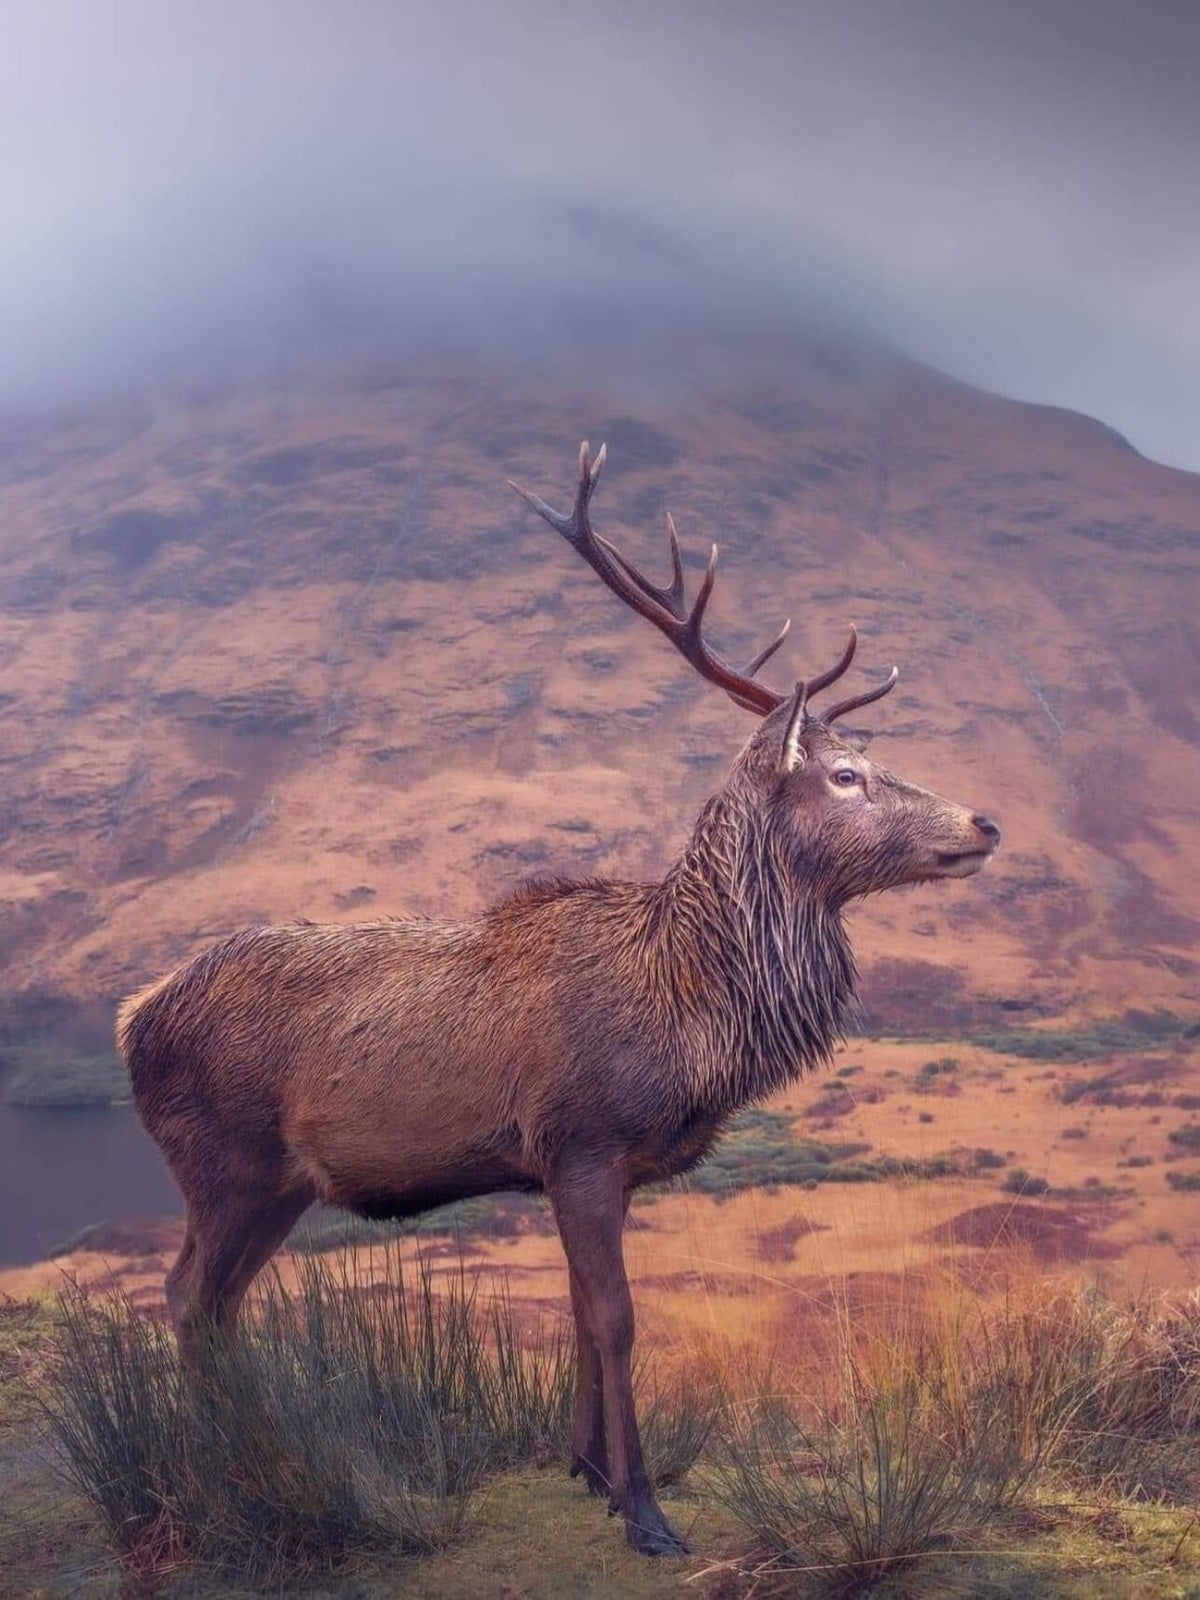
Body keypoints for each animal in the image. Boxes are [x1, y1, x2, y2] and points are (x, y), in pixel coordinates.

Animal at [117, 441, 1001, 1557]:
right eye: (846, 775)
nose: (985, 822)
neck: (691, 1019)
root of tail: (131, 1016)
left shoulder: (590, 1167)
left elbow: (580, 1311)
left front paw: (587, 1472)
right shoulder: (581, 1135)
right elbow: (617, 1317)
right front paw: (648, 1512)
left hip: (274, 1181)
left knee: (217, 1304)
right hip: (222, 1160)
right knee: (187, 1297)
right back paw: (229, 1467)